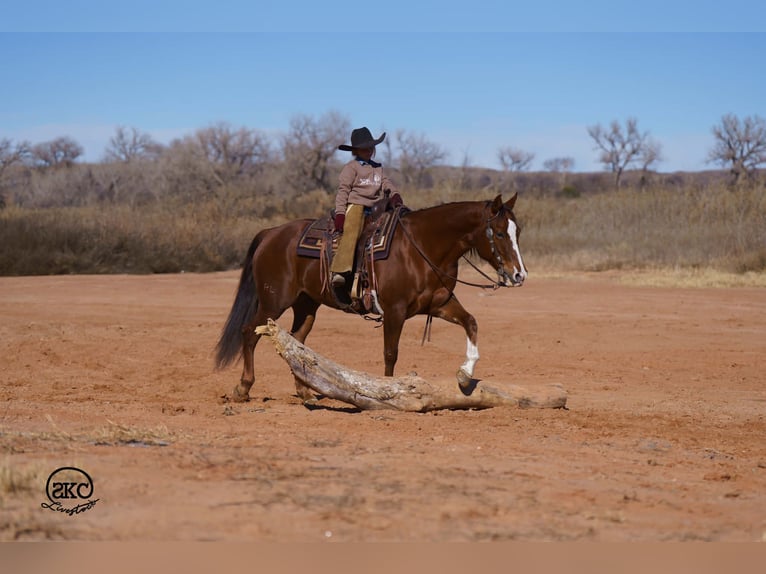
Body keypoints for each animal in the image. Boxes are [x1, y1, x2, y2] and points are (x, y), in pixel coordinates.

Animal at [214, 194, 527, 402]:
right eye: (500, 233)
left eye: (518, 231)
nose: (519, 275)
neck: (421, 247)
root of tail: (271, 233)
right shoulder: (395, 310)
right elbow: (390, 353)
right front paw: (389, 394)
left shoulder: (439, 304)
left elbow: (471, 322)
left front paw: (464, 373)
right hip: (274, 300)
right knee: (249, 332)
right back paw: (243, 388)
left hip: (306, 304)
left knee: (296, 342)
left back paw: (305, 392)